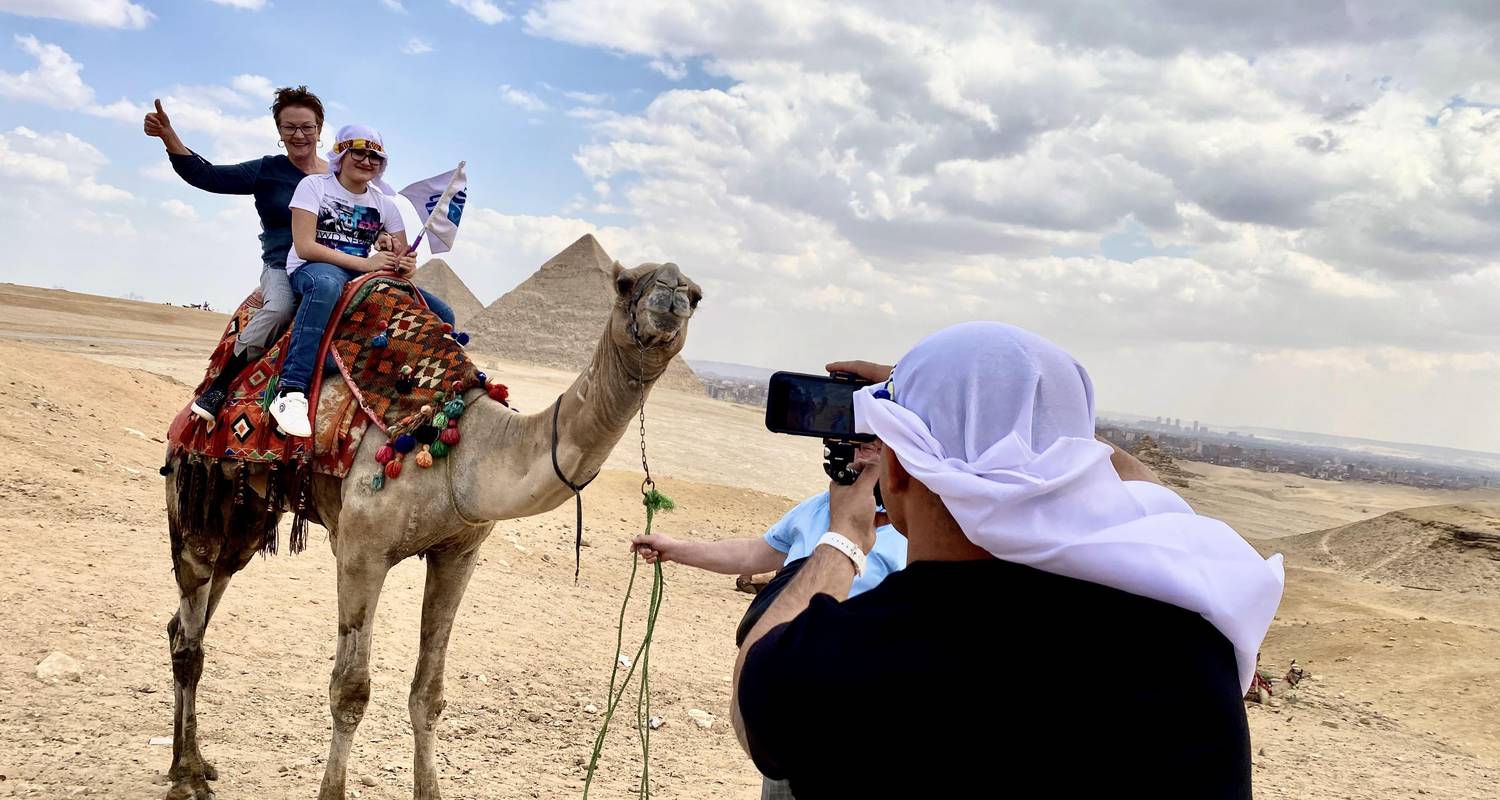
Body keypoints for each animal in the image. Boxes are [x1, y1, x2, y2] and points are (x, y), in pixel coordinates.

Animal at [164, 262, 702, 798]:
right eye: (626, 284)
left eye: (696, 296)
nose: (674, 289)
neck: (461, 450)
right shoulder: (361, 551)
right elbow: (349, 690)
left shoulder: (459, 553)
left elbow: (429, 693)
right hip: (193, 496)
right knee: (191, 638)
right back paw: (187, 777)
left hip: (247, 520)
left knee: (190, 619)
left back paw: (190, 763)